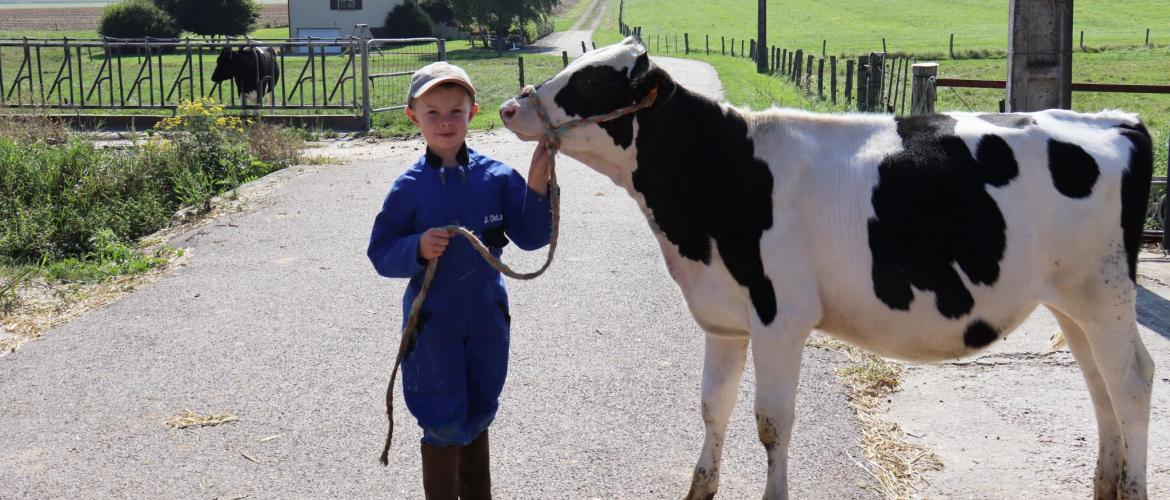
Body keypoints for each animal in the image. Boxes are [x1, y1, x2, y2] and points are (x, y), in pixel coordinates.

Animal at [498, 37, 1155, 498]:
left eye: (590, 80)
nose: (507, 106)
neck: (719, 173)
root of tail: (1115, 118)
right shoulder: (723, 320)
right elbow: (714, 406)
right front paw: (699, 488)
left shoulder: (780, 318)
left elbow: (771, 423)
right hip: (1072, 302)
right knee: (1099, 385)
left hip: (1105, 293)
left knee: (1131, 382)